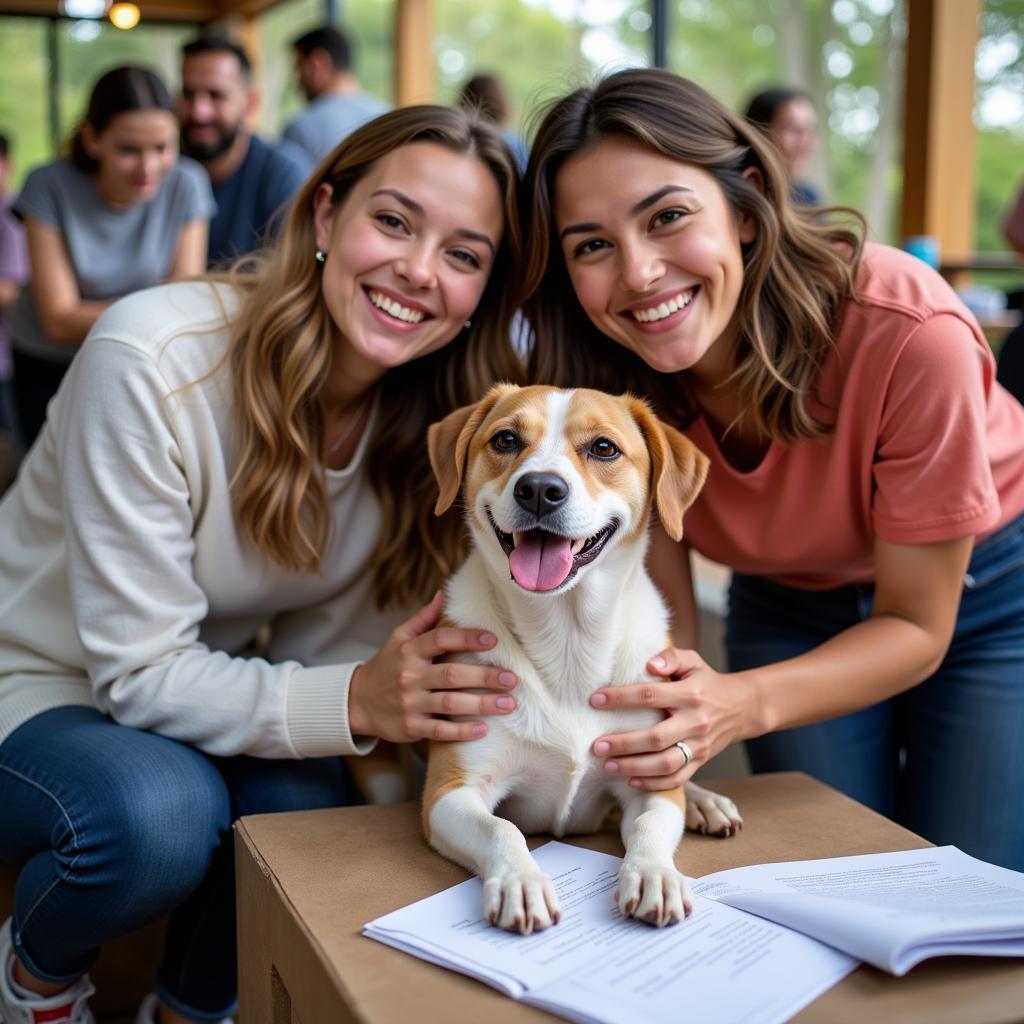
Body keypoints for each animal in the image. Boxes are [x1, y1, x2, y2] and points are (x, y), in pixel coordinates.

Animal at [419, 385, 741, 937]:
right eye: (506, 440)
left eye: (604, 448)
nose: (539, 489)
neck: (567, 638)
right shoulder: (449, 790)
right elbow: (502, 828)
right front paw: (521, 882)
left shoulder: (650, 780)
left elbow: (651, 824)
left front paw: (654, 875)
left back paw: (706, 801)